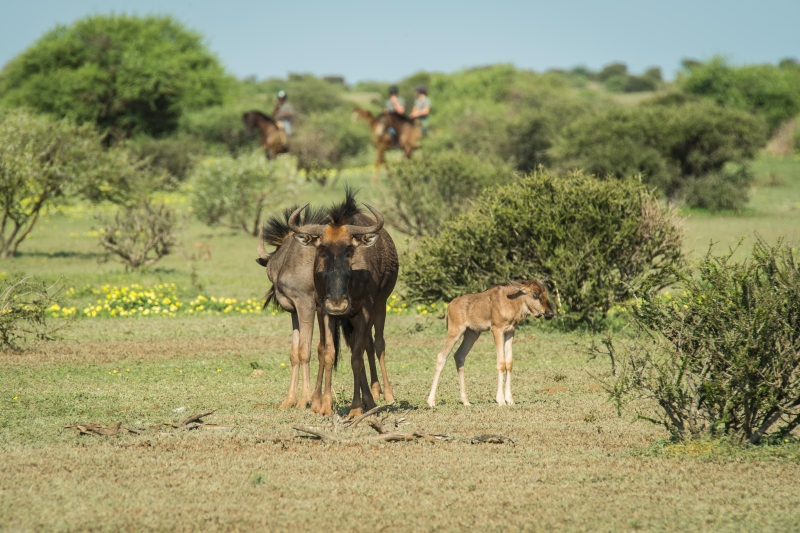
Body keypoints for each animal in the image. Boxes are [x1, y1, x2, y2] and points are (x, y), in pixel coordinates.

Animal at [424, 278, 556, 408]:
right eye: (535, 294)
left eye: (545, 292)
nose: (550, 313)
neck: (512, 301)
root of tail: (450, 305)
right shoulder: (497, 330)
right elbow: (501, 362)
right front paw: (501, 400)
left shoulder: (510, 331)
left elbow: (509, 363)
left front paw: (510, 400)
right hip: (455, 332)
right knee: (441, 356)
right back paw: (431, 401)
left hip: (472, 335)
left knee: (459, 356)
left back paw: (465, 401)